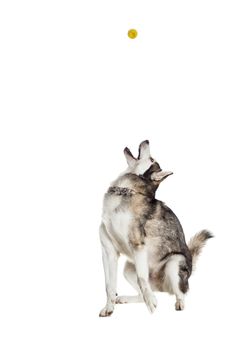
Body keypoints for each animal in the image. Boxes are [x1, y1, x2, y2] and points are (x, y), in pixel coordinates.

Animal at [99, 140, 213, 318]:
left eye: (152, 159)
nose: (146, 140)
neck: (124, 191)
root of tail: (161, 286)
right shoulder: (108, 251)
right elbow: (109, 285)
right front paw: (108, 308)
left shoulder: (137, 245)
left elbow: (142, 278)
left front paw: (151, 303)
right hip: (128, 268)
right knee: (143, 293)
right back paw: (127, 298)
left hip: (174, 263)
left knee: (181, 292)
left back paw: (177, 303)